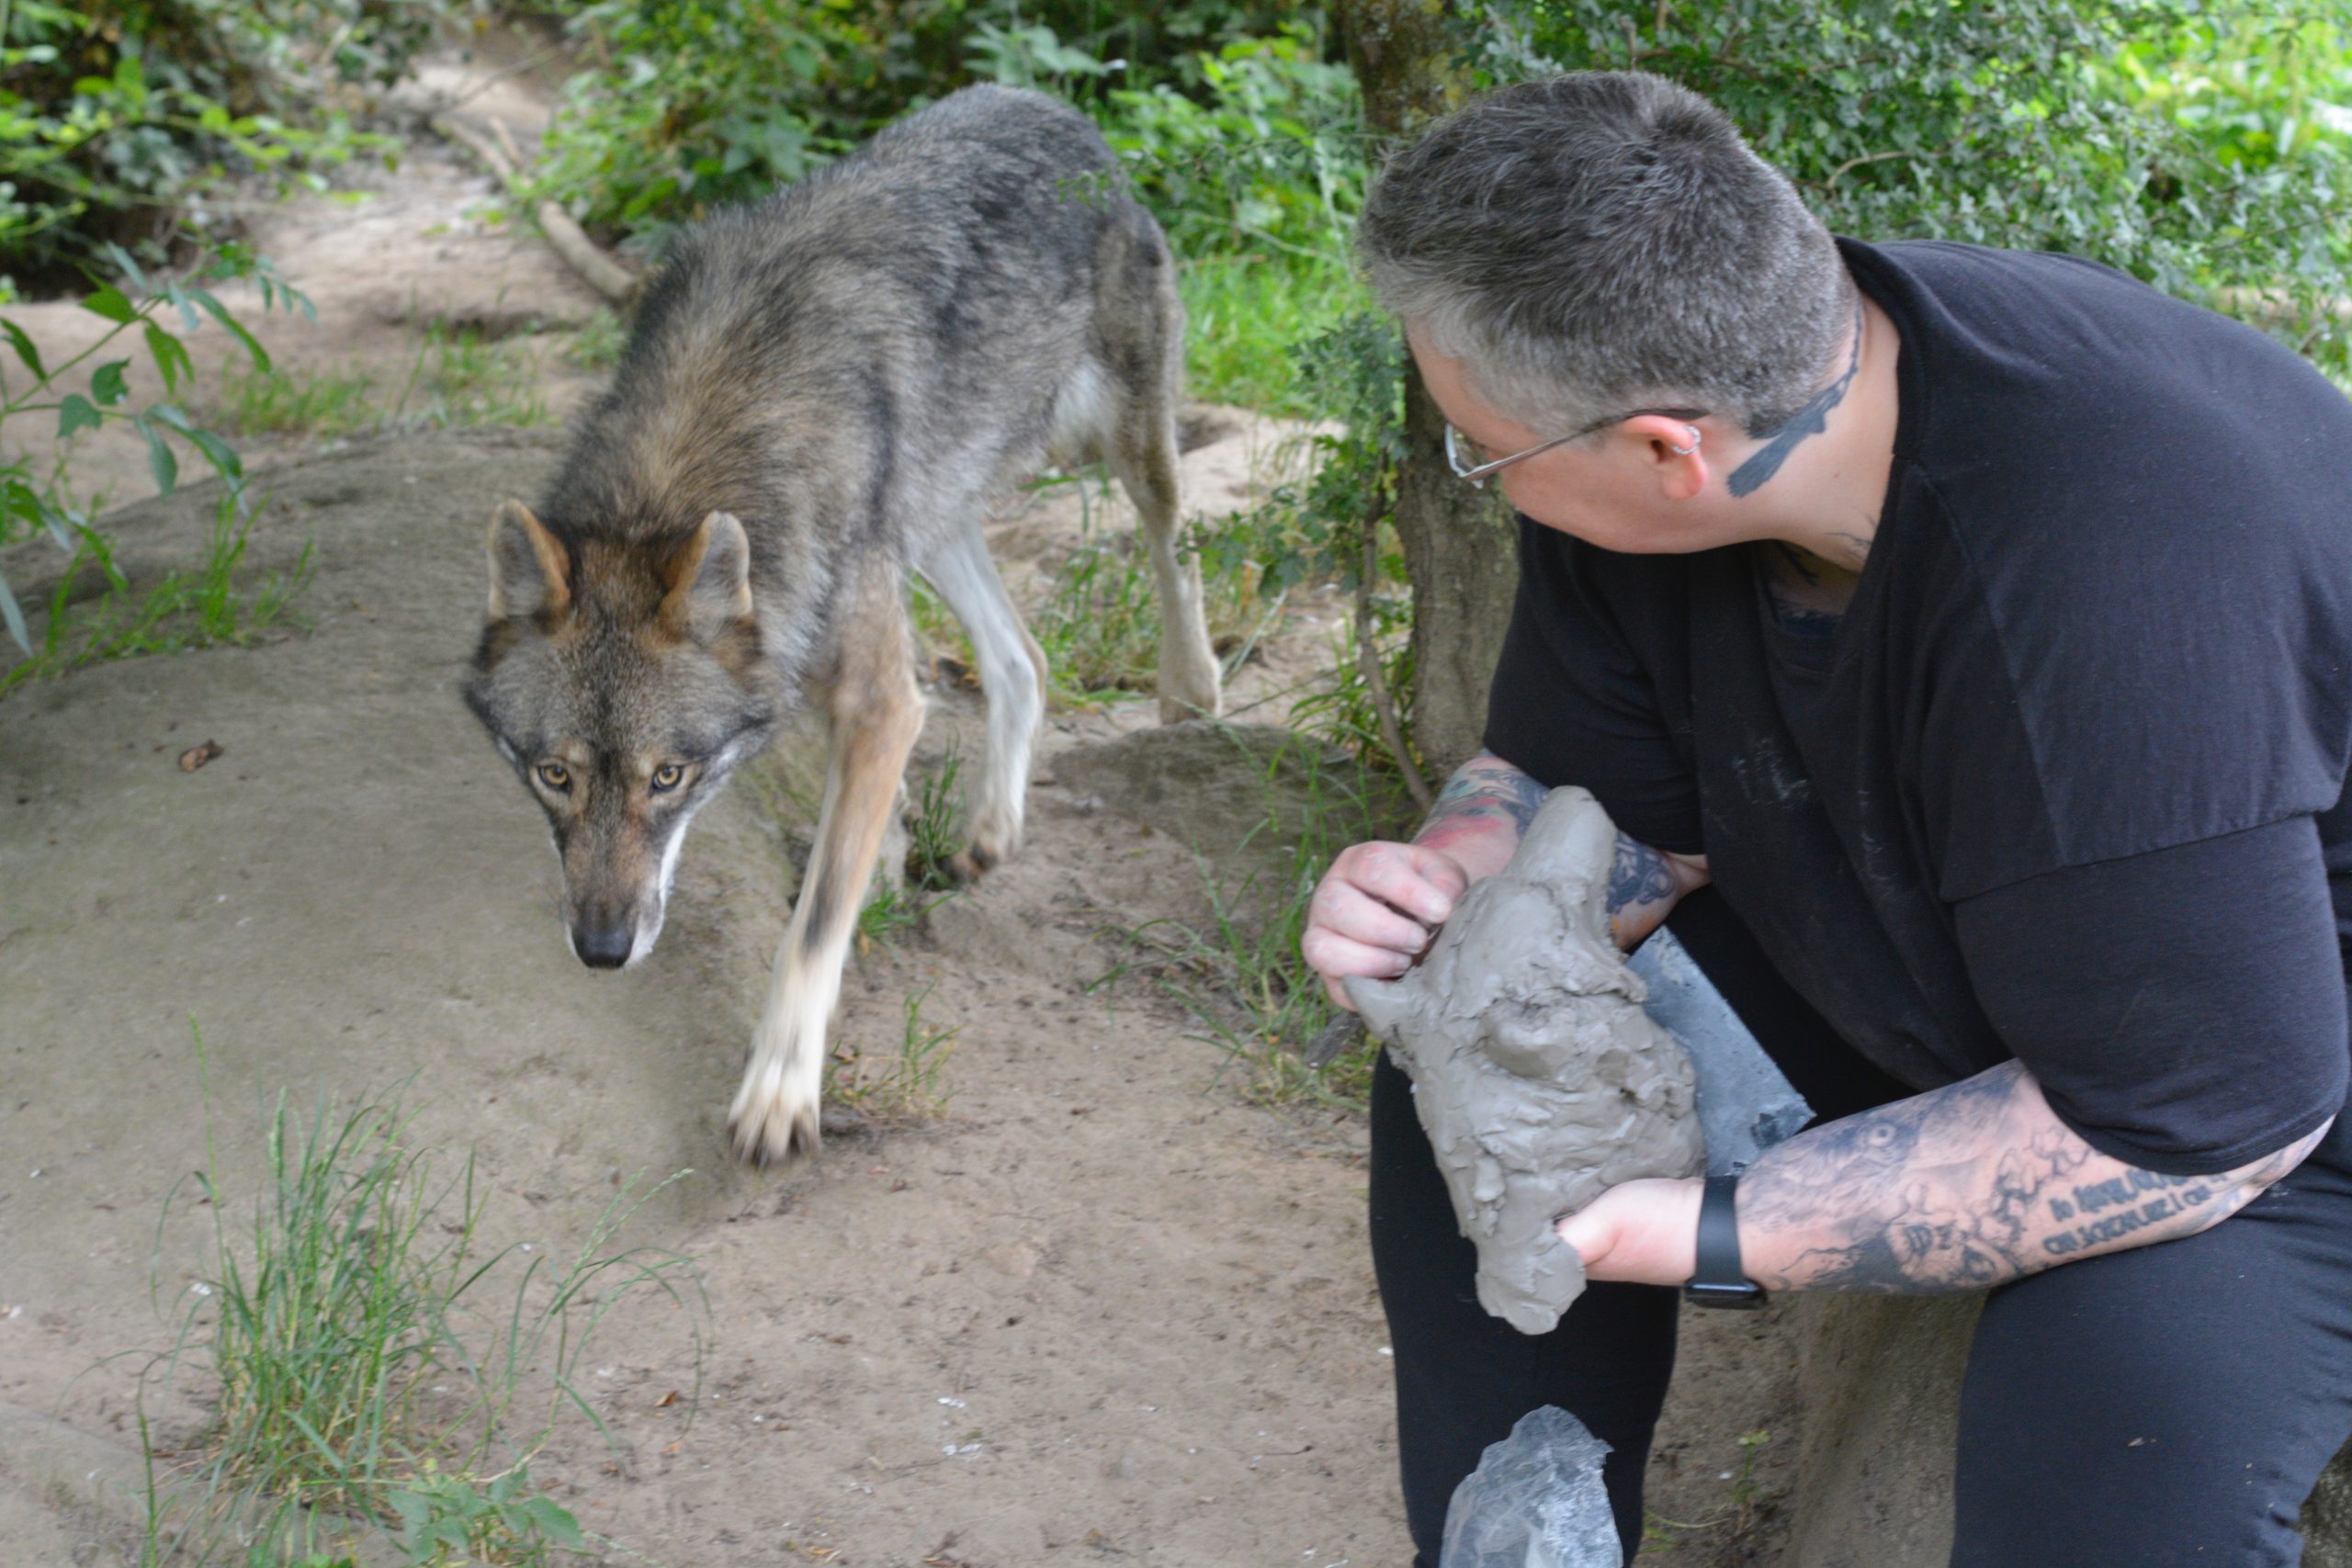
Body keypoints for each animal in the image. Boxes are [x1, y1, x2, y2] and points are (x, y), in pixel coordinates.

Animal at [461, 85, 1222, 1164]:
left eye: (669, 777)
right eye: (552, 775)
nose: (602, 951)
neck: (689, 467)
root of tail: (1041, 102)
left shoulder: (870, 692)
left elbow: (816, 918)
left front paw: (780, 1086)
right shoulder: (832, 667)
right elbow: (864, 820)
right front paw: (894, 859)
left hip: (1120, 443)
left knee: (1175, 540)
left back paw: (1191, 690)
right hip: (929, 519)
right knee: (1023, 657)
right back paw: (990, 829)